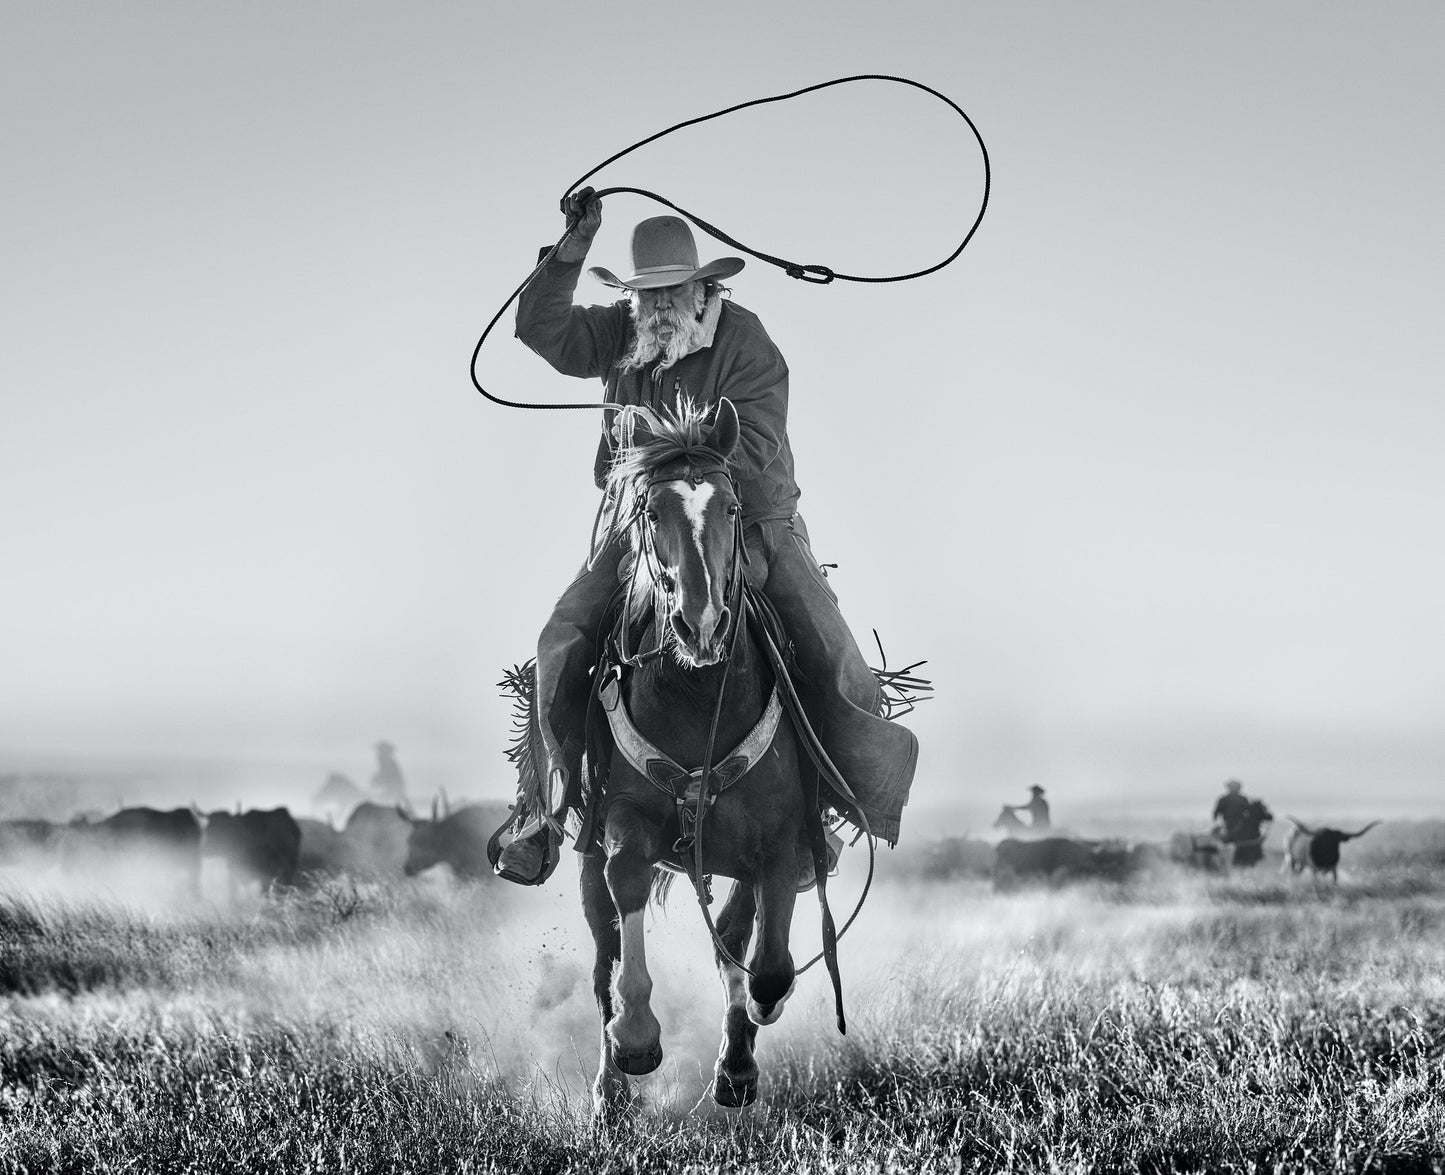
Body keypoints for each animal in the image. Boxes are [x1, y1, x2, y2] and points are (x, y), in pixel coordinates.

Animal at [575, 398, 826, 1121]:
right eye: (650, 510)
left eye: (733, 507)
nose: (701, 623)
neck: (698, 693)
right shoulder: (623, 818)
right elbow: (628, 879)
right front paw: (636, 1036)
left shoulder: (779, 842)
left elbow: (764, 965)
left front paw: (744, 1045)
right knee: (601, 958)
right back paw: (609, 1095)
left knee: (735, 942)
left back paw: (736, 1067)